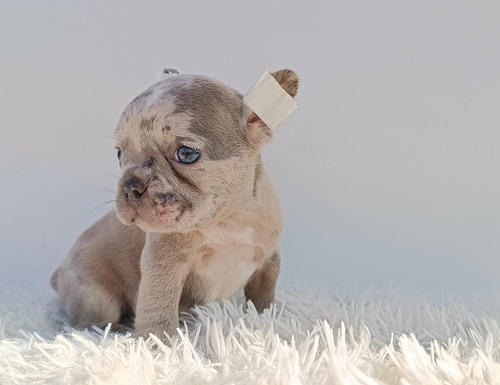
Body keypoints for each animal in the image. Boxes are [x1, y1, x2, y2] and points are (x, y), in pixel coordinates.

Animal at [51, 69, 296, 336]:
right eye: (119, 153)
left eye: (186, 154)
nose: (130, 184)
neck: (228, 219)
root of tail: (59, 272)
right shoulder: (163, 265)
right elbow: (159, 307)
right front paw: (159, 341)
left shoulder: (268, 260)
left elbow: (263, 298)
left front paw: (265, 321)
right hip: (95, 294)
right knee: (89, 324)